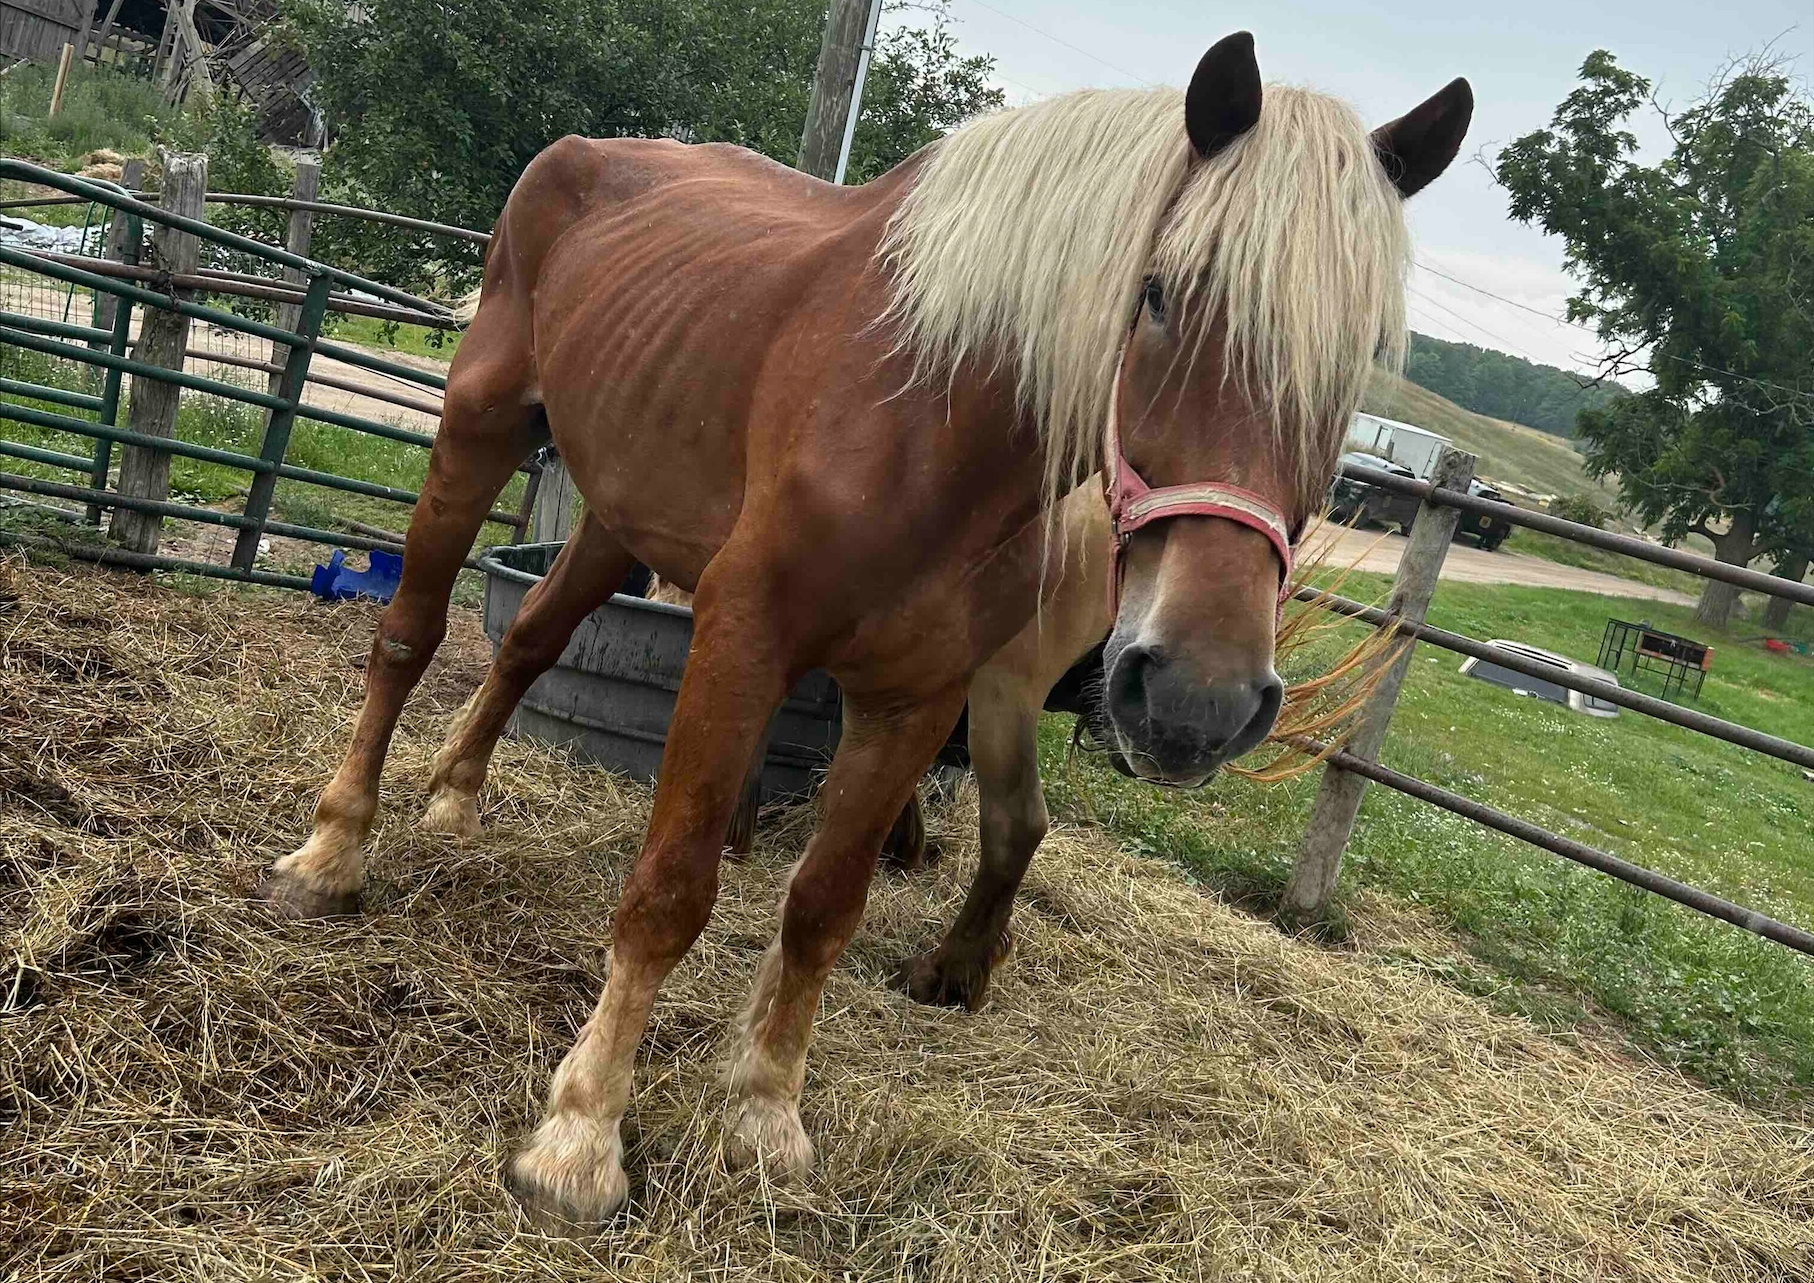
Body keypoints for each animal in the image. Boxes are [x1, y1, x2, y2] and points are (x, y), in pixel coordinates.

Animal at [259, 35, 1472, 1226]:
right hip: (479, 425)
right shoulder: (742, 643)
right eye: (1159, 294)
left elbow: (823, 905)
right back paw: (331, 851)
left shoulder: (915, 698)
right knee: (409, 636)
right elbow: (670, 892)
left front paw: (763, 1115)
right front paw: (579, 1138)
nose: (1194, 700)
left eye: (1358, 357)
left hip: (618, 515)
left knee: (530, 642)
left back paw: (456, 797)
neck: (928, 425)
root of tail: (585, 152)